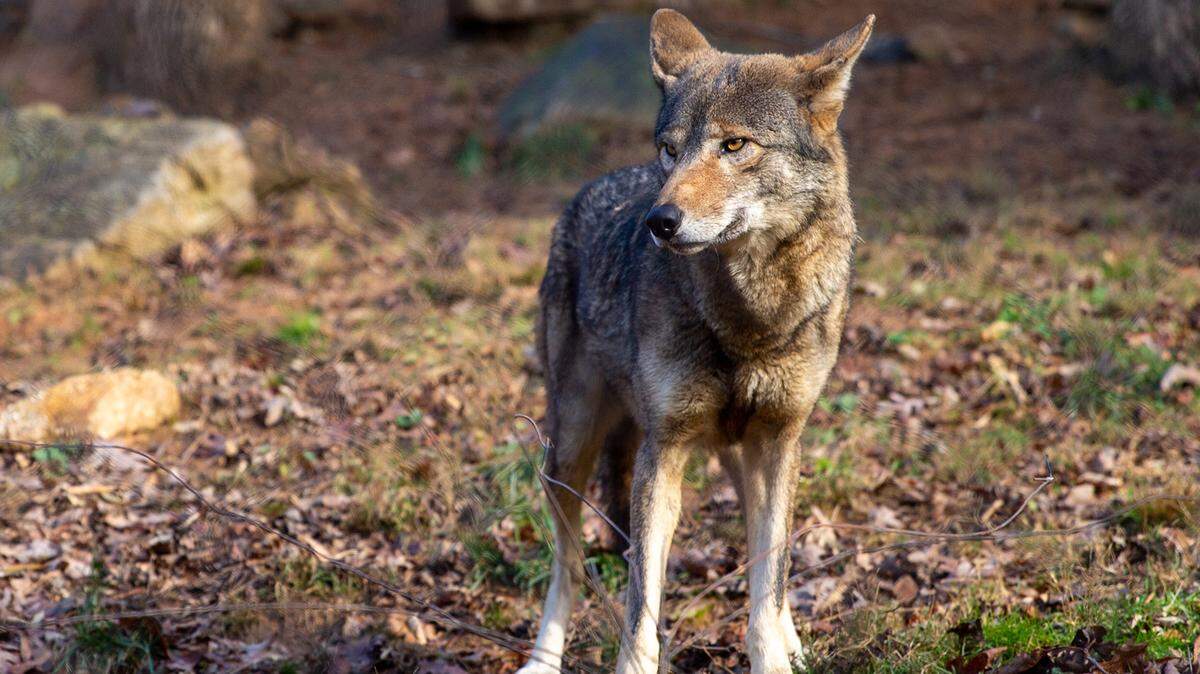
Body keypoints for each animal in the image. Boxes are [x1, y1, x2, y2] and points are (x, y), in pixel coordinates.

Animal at [518, 9, 874, 674]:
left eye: (734, 145)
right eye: (670, 149)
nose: (660, 222)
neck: (749, 318)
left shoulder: (780, 440)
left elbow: (768, 585)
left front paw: (774, 654)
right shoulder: (664, 449)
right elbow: (640, 610)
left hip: (743, 455)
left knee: (768, 560)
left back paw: (792, 638)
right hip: (570, 448)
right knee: (567, 566)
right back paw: (542, 658)